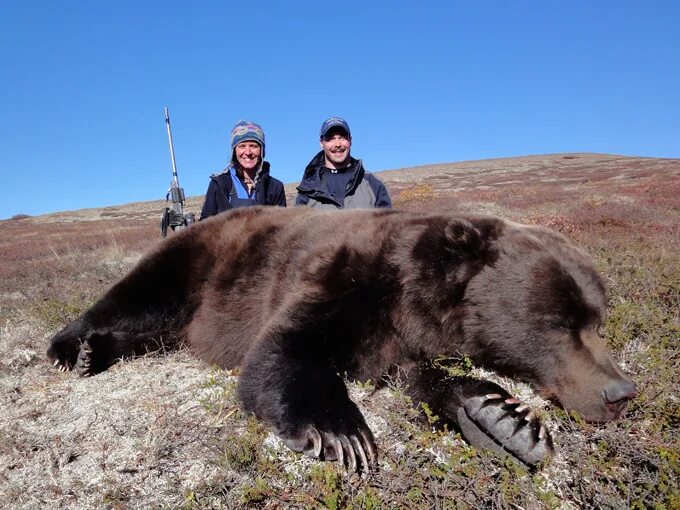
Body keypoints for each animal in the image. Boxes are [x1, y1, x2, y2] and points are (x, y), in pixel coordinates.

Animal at [45, 206, 636, 470]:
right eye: (558, 322)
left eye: (599, 320)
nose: (621, 393)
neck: (408, 291)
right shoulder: (344, 279)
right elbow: (283, 351)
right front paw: (343, 433)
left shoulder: (405, 334)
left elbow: (423, 376)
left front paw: (506, 420)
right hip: (198, 261)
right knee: (135, 296)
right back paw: (73, 350)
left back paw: (98, 352)